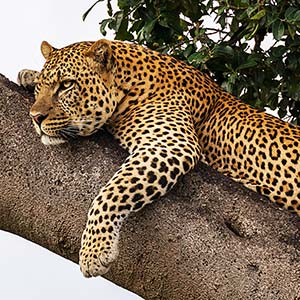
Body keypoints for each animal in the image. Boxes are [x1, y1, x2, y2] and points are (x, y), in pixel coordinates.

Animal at [18, 38, 300, 278]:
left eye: (66, 85)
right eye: (43, 87)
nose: (35, 117)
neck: (129, 85)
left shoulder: (171, 144)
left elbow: (111, 193)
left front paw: (94, 250)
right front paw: (28, 75)